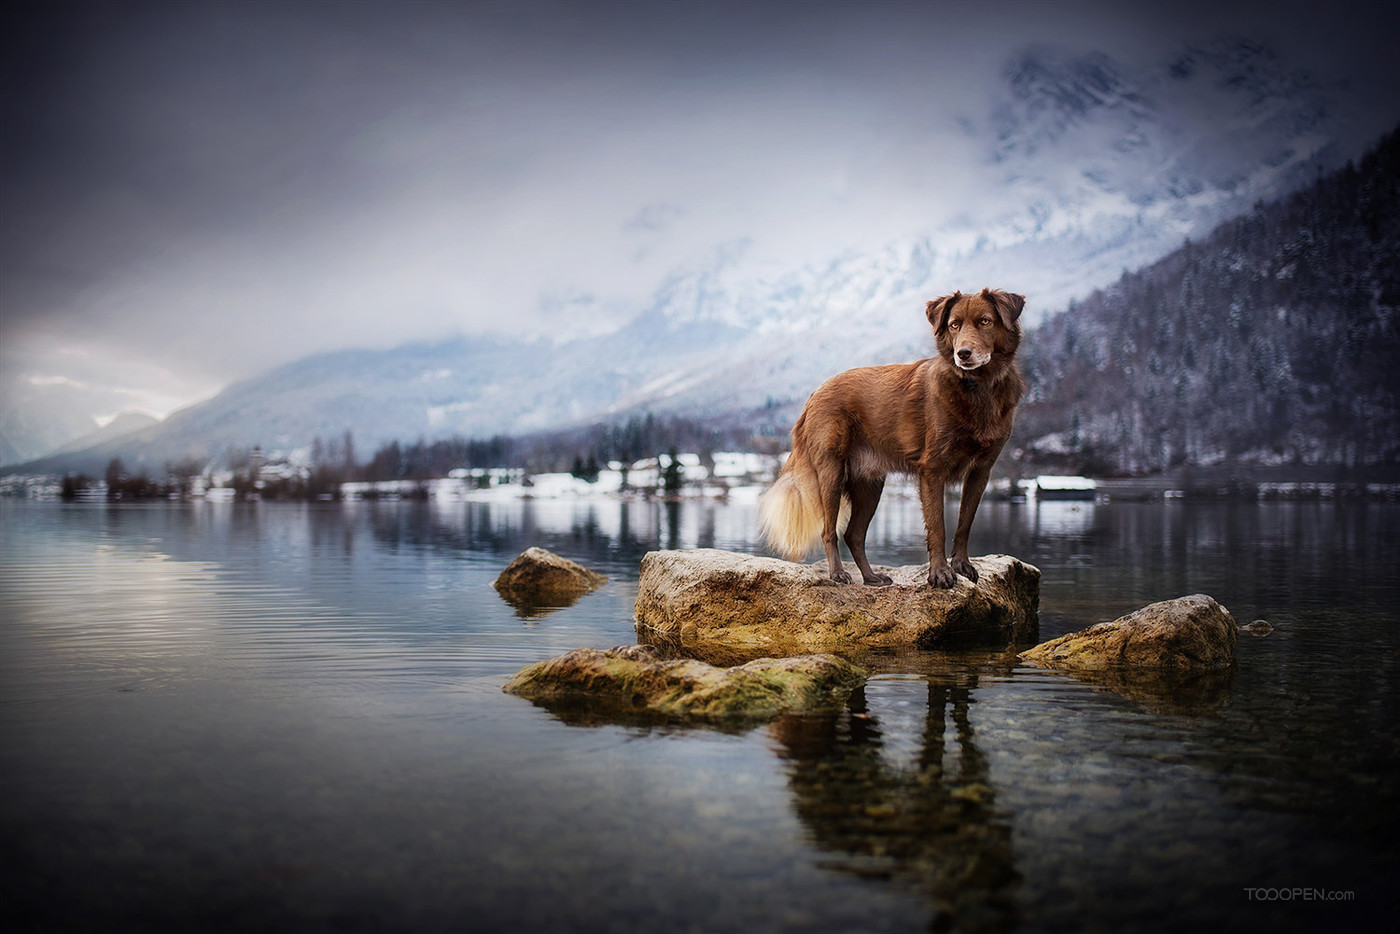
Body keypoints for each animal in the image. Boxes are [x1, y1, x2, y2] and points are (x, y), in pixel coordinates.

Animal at [761, 288, 1024, 588]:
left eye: (985, 322)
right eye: (954, 325)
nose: (963, 354)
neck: (976, 387)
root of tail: (815, 394)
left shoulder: (981, 471)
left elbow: (964, 523)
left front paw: (961, 565)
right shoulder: (933, 470)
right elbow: (938, 526)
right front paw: (940, 573)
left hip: (869, 485)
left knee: (853, 534)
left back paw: (870, 577)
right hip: (831, 473)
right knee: (829, 530)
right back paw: (838, 574)